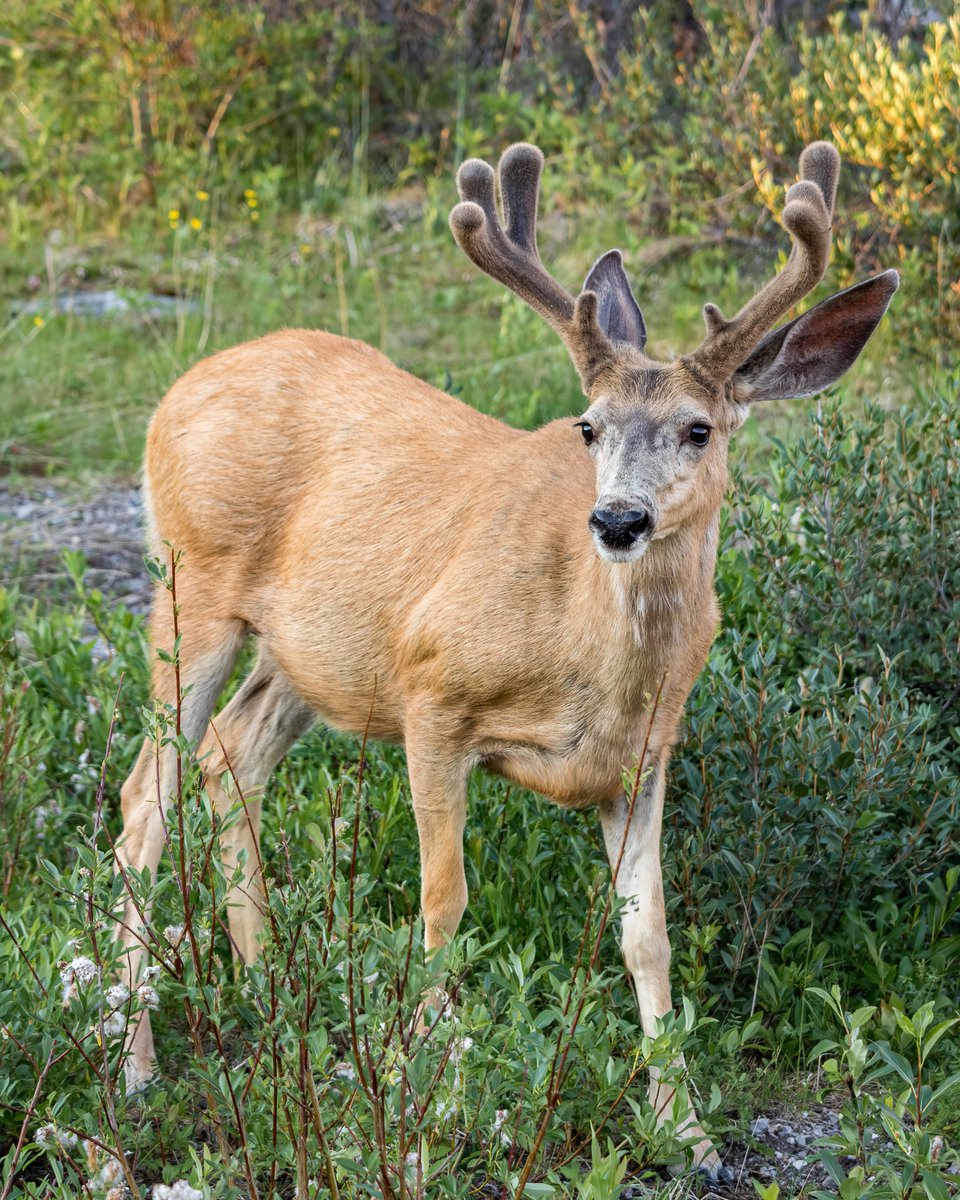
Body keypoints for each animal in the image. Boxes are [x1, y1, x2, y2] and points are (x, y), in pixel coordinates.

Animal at [116, 138, 897, 1171]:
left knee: (228, 758)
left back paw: (272, 1000)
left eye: (698, 428)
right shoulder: (433, 693)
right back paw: (137, 1065)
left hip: (306, 654)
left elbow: (647, 935)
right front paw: (430, 1103)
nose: (617, 519)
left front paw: (686, 1129)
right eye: (588, 427)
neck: (594, 666)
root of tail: (175, 391)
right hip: (192, 588)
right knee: (144, 801)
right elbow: (444, 907)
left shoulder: (643, 758)